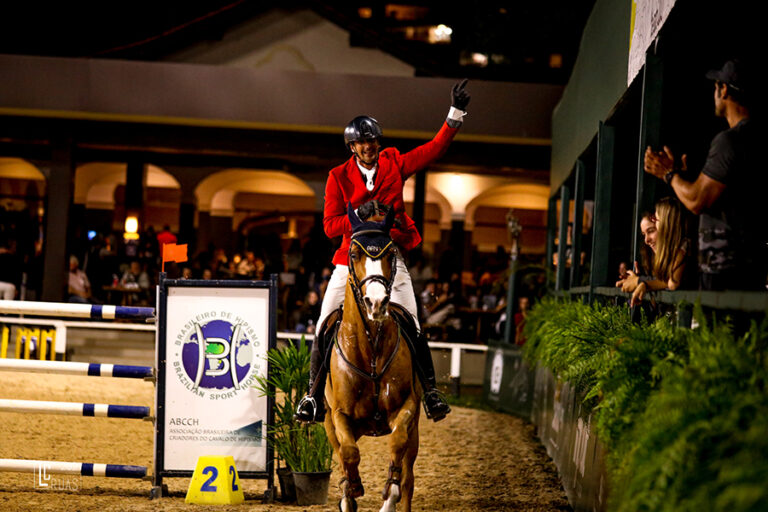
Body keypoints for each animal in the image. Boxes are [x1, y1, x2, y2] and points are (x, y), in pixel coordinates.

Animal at [322, 204, 424, 512]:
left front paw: (389, 490)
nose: (376, 303)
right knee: (343, 452)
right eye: (354, 254)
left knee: (408, 478)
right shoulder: (339, 415)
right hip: (331, 423)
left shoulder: (406, 408)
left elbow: (397, 446)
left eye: (391, 254)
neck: (371, 352)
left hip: (415, 433)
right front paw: (352, 488)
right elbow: (349, 454)